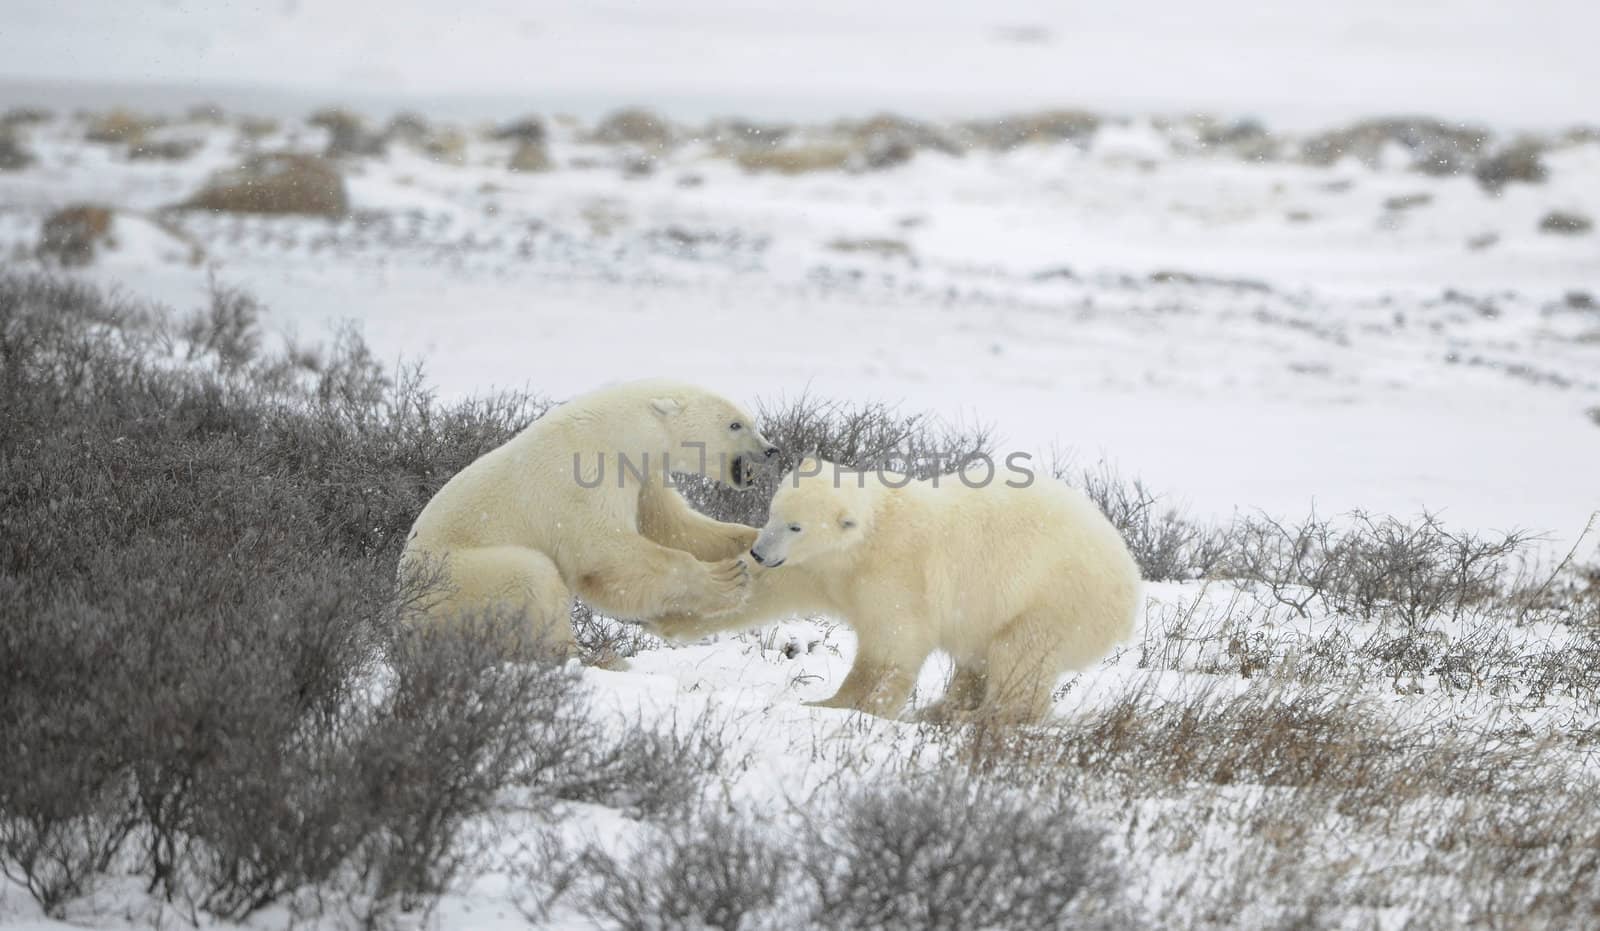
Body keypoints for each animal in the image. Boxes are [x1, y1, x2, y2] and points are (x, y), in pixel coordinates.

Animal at [398, 379, 774, 655]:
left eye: (751, 421)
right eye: (735, 424)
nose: (771, 449)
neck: (617, 435)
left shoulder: (641, 479)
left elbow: (674, 525)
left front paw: (755, 538)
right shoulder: (586, 477)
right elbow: (605, 552)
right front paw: (726, 579)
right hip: (460, 578)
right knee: (533, 578)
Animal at [646, 463, 1139, 726]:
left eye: (796, 526)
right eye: (772, 513)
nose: (760, 551)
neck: (868, 536)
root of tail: (1130, 583)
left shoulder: (897, 571)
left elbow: (891, 646)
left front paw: (837, 705)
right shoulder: (819, 567)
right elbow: (767, 589)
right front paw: (677, 609)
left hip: (1055, 597)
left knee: (1019, 656)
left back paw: (979, 716)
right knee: (978, 659)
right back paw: (944, 708)